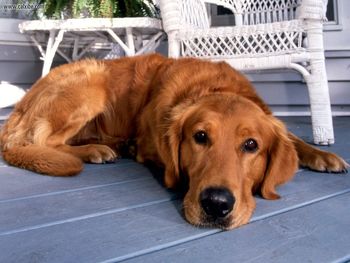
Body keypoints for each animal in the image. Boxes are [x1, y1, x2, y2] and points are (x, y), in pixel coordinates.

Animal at [0, 54, 348, 230]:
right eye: (200, 137)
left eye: (251, 145)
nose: (216, 204)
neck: (213, 87)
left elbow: (290, 135)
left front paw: (323, 156)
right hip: (92, 80)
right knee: (43, 139)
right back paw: (95, 149)